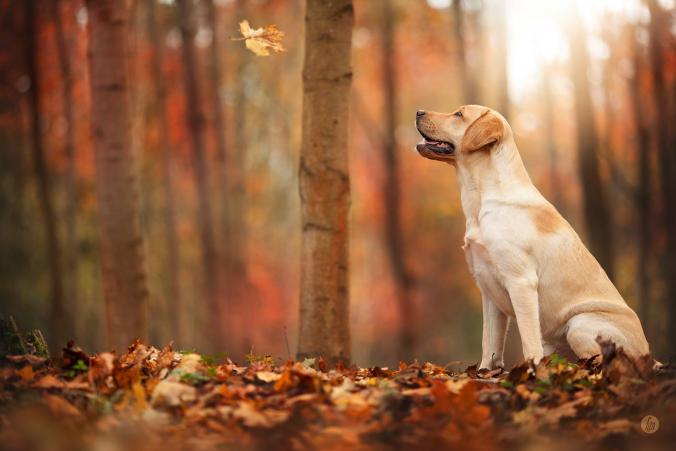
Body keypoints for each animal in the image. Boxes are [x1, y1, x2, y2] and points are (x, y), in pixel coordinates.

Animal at [414, 107, 652, 370]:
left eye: (458, 114)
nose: (418, 111)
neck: (481, 199)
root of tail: (650, 356)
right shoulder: (487, 290)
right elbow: (489, 342)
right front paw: (485, 372)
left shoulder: (521, 281)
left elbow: (528, 339)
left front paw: (531, 370)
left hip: (579, 324)